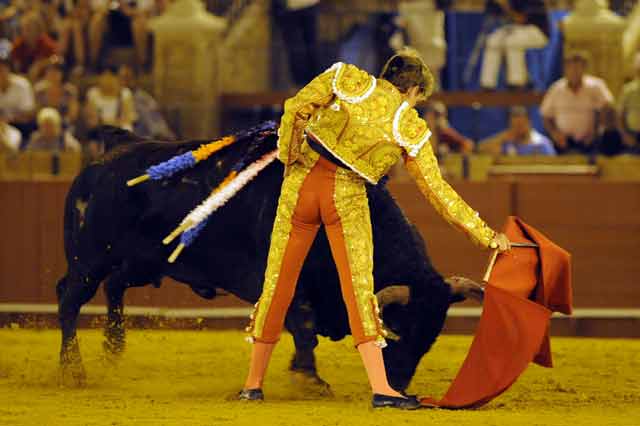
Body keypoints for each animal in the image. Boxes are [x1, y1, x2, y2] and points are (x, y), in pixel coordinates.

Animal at [58, 122, 480, 390]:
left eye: (430, 337)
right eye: (398, 330)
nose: (399, 386)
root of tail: (110, 153)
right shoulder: (287, 280)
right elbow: (303, 324)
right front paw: (309, 379)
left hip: (145, 262)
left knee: (115, 286)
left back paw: (113, 348)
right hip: (90, 259)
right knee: (70, 297)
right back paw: (72, 371)